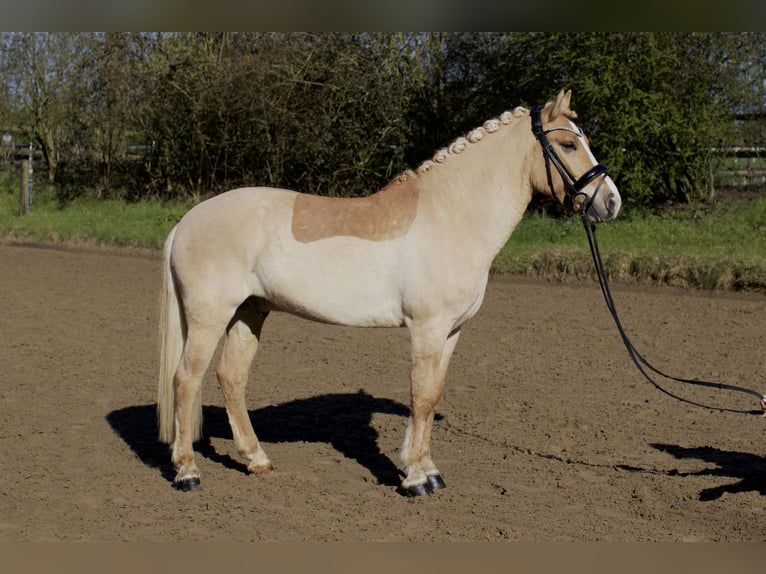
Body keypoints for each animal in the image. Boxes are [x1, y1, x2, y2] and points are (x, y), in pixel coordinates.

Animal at [157, 89, 622, 496]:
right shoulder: (426, 329)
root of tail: (187, 221)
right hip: (209, 317)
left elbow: (432, 396)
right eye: (567, 143)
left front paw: (429, 471)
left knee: (231, 378)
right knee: (186, 380)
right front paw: (414, 479)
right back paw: (187, 473)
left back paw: (257, 460)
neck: (450, 215)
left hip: (250, 312)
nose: (611, 203)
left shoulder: (451, 332)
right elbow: (419, 395)